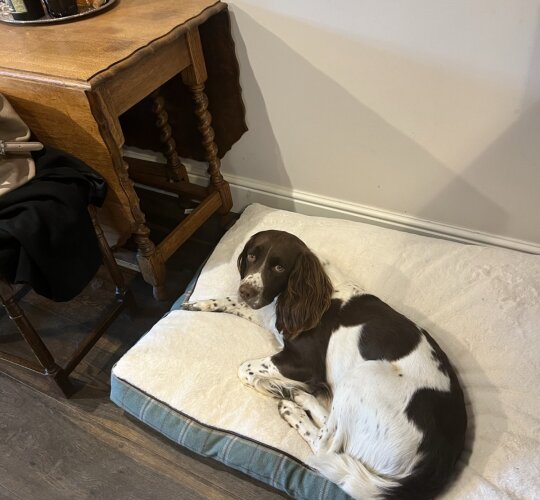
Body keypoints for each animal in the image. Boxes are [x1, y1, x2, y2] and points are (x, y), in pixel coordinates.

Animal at [184, 230, 466, 500]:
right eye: (252, 256)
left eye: (279, 267)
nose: (246, 290)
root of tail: (432, 466)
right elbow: (235, 304)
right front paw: (202, 303)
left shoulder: (304, 363)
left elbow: (245, 368)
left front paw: (271, 385)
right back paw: (300, 397)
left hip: (364, 376)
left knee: (325, 445)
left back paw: (292, 407)